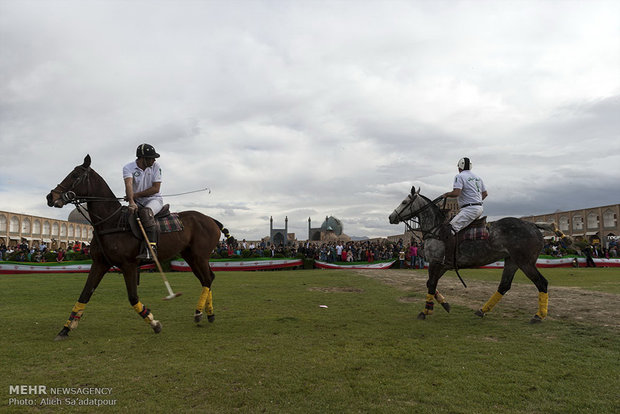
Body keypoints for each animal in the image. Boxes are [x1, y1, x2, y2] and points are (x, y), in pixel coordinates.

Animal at [46, 155, 235, 340]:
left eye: (75, 175)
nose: (50, 197)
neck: (111, 222)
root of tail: (211, 220)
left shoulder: (128, 265)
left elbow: (132, 297)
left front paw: (154, 323)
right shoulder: (100, 264)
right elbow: (85, 294)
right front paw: (65, 329)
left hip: (200, 255)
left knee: (208, 279)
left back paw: (199, 313)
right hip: (190, 256)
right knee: (206, 279)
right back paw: (208, 313)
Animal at [390, 187, 568, 324]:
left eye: (404, 202)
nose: (391, 217)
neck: (435, 229)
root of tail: (533, 225)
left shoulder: (435, 261)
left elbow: (432, 284)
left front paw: (426, 311)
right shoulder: (443, 264)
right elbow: (430, 284)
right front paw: (445, 305)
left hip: (525, 262)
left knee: (541, 283)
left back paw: (538, 316)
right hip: (512, 260)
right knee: (504, 285)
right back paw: (482, 310)